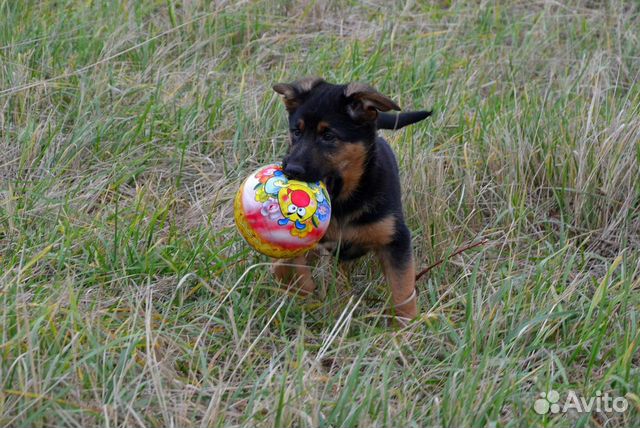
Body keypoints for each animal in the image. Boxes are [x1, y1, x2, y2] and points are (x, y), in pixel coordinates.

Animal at [270, 77, 430, 324]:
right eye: (296, 132)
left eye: (328, 136)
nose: (291, 170)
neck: (342, 201)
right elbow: (296, 271)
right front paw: (304, 297)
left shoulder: (396, 239)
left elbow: (402, 289)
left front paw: (406, 326)